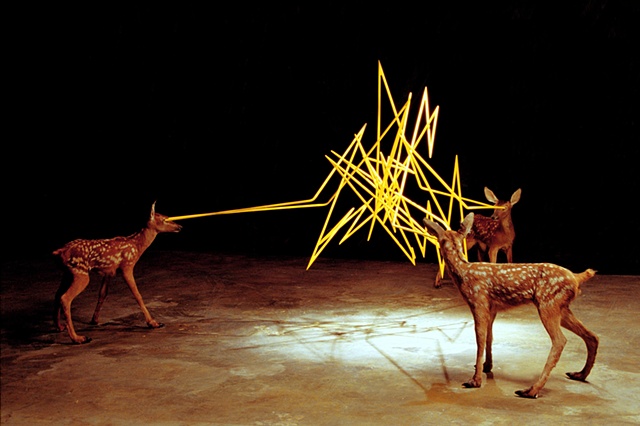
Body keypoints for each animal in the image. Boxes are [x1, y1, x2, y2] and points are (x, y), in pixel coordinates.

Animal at [52, 201, 182, 344]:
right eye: (165, 219)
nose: (180, 226)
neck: (137, 246)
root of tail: (60, 252)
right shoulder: (127, 266)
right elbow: (137, 295)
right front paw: (153, 323)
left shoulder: (109, 271)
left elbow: (102, 294)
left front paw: (94, 320)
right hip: (80, 273)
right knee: (65, 298)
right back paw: (78, 338)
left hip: (68, 273)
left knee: (57, 295)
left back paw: (59, 326)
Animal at [423, 213, 598, 398]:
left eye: (439, 240)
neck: (463, 271)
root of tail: (576, 278)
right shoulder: (492, 308)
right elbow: (490, 337)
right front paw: (487, 366)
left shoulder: (479, 303)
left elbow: (480, 338)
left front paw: (475, 380)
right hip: (561, 308)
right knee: (592, 336)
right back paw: (579, 374)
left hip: (548, 304)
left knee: (560, 341)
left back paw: (531, 390)